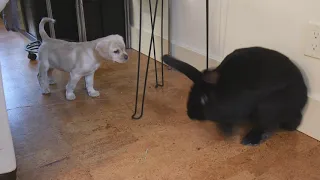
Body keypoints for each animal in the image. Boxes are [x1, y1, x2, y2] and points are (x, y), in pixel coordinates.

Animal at [164, 46, 308, 146]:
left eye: (203, 99)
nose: (190, 115)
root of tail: (303, 98)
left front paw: (227, 132)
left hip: (268, 106)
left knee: (270, 124)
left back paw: (251, 140)